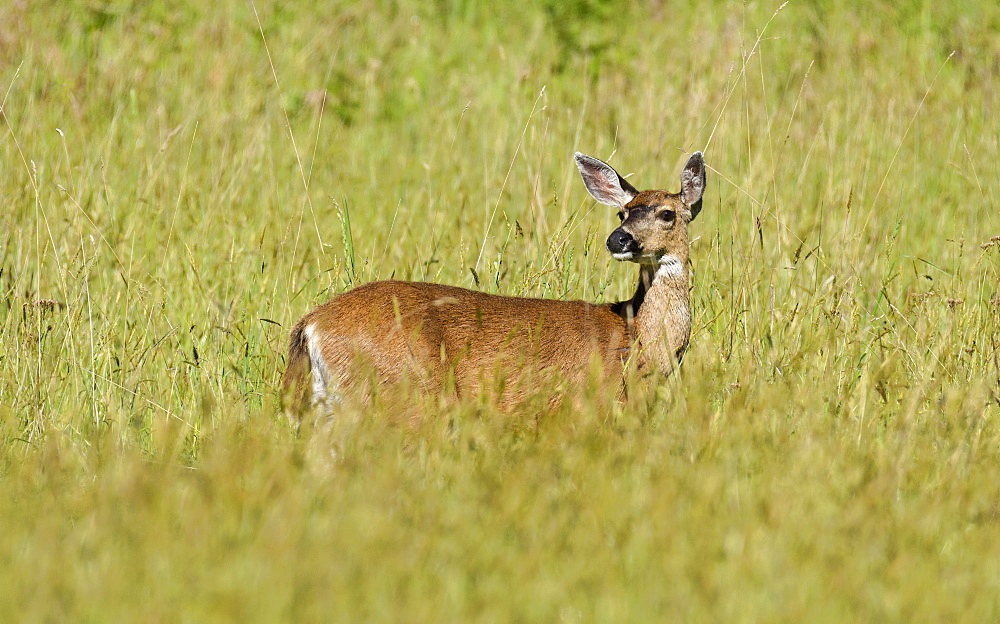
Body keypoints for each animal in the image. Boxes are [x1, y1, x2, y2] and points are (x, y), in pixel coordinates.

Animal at [282, 150, 704, 414]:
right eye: (622, 213)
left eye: (667, 213)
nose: (618, 239)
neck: (634, 340)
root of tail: (310, 325)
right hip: (399, 394)